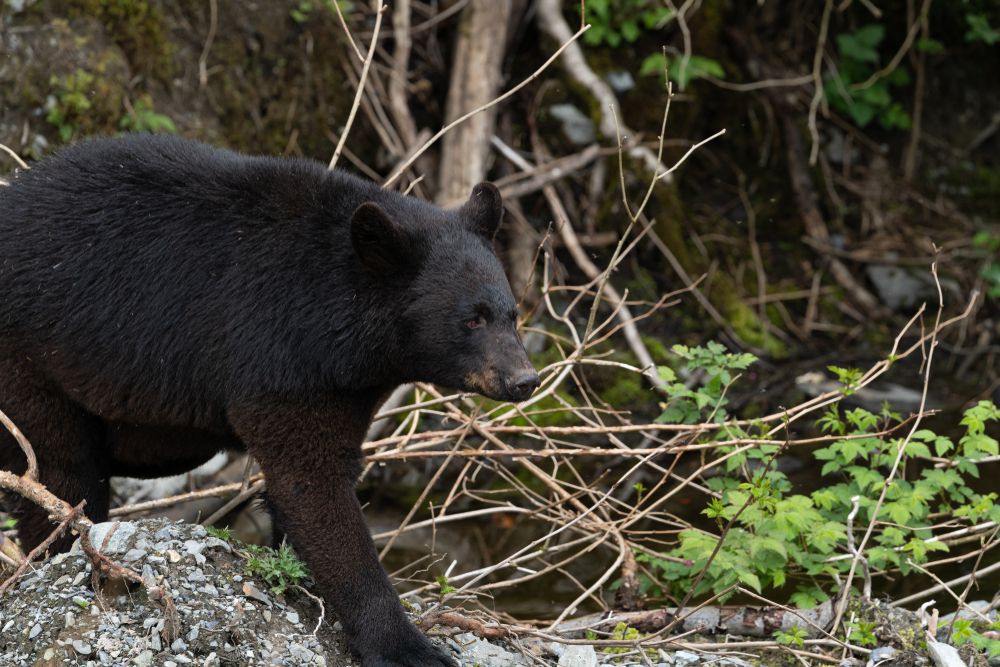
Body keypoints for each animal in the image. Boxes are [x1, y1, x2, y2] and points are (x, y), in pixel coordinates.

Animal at [0, 133, 539, 667]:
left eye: (511, 314)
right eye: (471, 319)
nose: (524, 380)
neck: (342, 320)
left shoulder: (346, 388)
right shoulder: (279, 359)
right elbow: (313, 489)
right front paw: (404, 645)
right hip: (31, 364)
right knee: (62, 471)